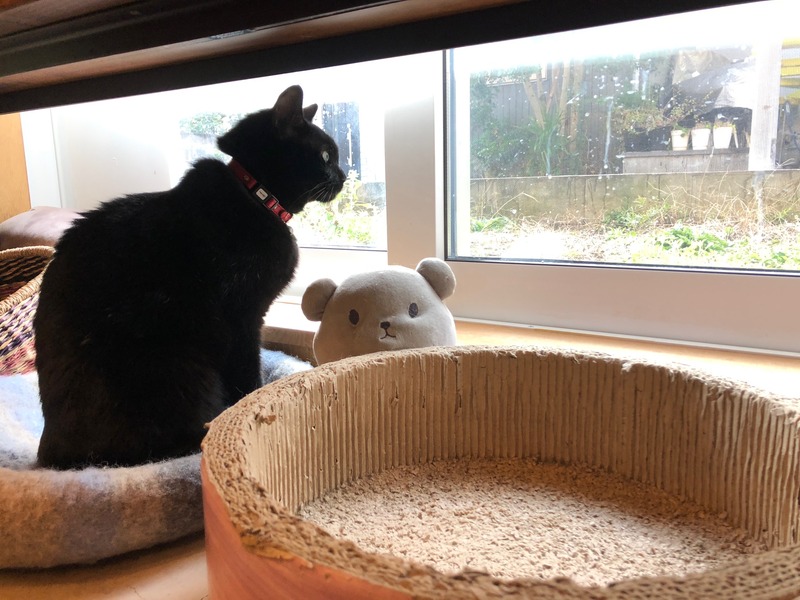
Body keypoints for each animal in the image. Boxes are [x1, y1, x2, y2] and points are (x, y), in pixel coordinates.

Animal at [34, 85, 345, 469]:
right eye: (326, 155)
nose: (345, 176)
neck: (254, 195)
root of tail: (49, 451)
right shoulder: (243, 319)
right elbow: (247, 372)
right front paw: (248, 405)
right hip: (180, 367)